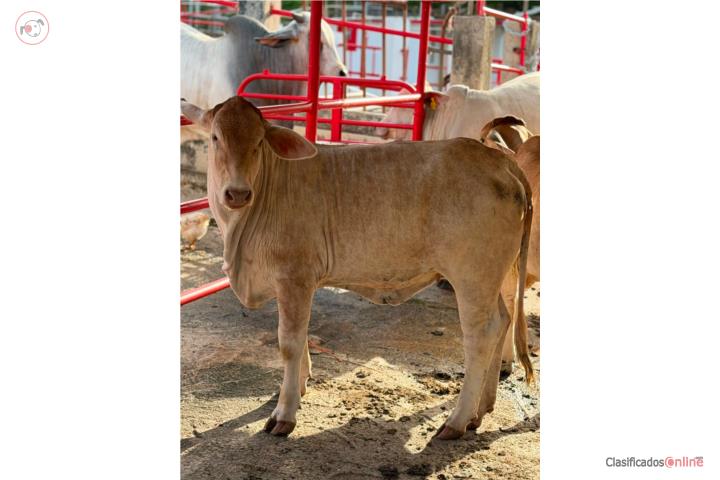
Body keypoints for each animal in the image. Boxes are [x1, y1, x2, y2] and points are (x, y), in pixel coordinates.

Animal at [181, 96, 534, 440]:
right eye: (215, 137)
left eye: (258, 142)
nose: (237, 193)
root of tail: (499, 159)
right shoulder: (298, 285)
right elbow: (302, 334)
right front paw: (300, 385)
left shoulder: (294, 278)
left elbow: (290, 343)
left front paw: (284, 412)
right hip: (495, 276)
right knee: (503, 320)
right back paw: (481, 409)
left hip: (473, 277)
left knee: (481, 334)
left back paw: (457, 421)